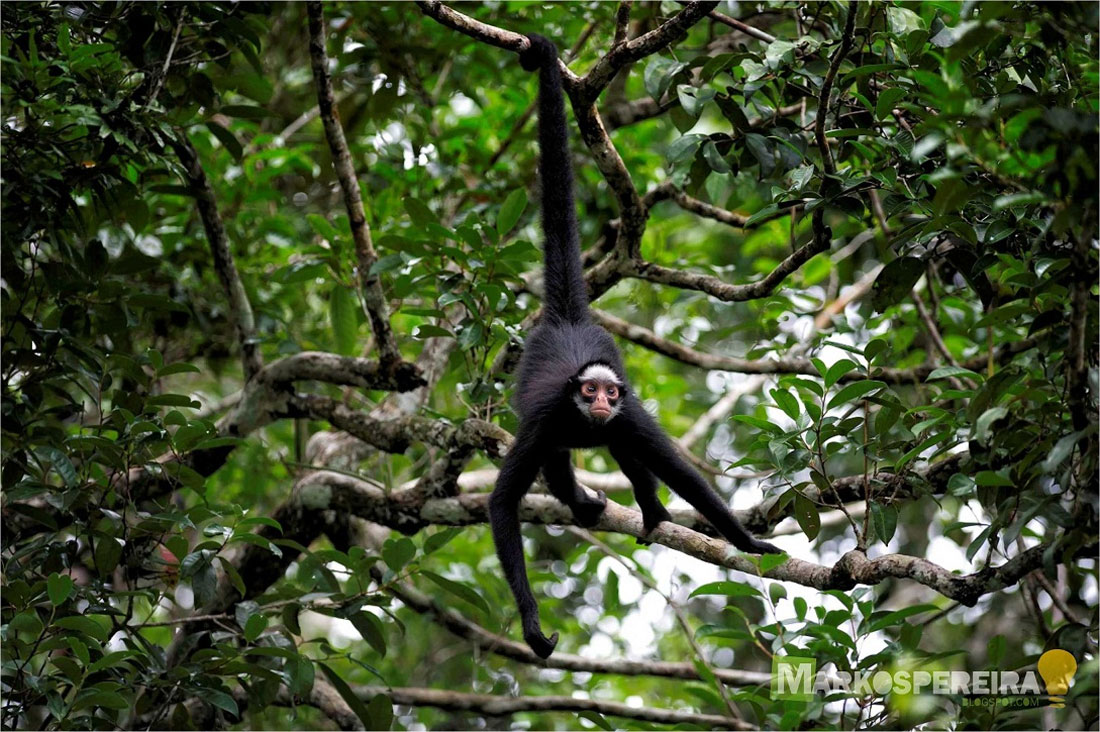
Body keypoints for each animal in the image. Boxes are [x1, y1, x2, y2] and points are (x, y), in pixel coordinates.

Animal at [490, 34, 783, 660]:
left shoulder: (630, 415)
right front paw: (531, 624)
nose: (601, 403)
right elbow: (502, 504)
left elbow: (680, 472)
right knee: (557, 464)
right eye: (588, 392)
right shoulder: (548, 417)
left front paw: (747, 544)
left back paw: (647, 510)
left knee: (629, 455)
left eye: (608, 393)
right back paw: (580, 501)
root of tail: (569, 318)